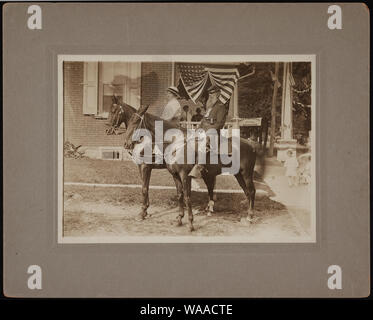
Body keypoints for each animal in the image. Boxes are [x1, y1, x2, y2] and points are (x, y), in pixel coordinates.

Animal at [123, 104, 264, 231]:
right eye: (129, 120)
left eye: (136, 122)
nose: (126, 143)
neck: (176, 144)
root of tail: (251, 144)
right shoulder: (175, 175)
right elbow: (179, 195)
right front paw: (179, 219)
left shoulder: (184, 175)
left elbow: (187, 197)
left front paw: (190, 223)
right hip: (238, 175)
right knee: (247, 192)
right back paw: (245, 215)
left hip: (246, 174)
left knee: (252, 191)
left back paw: (249, 217)